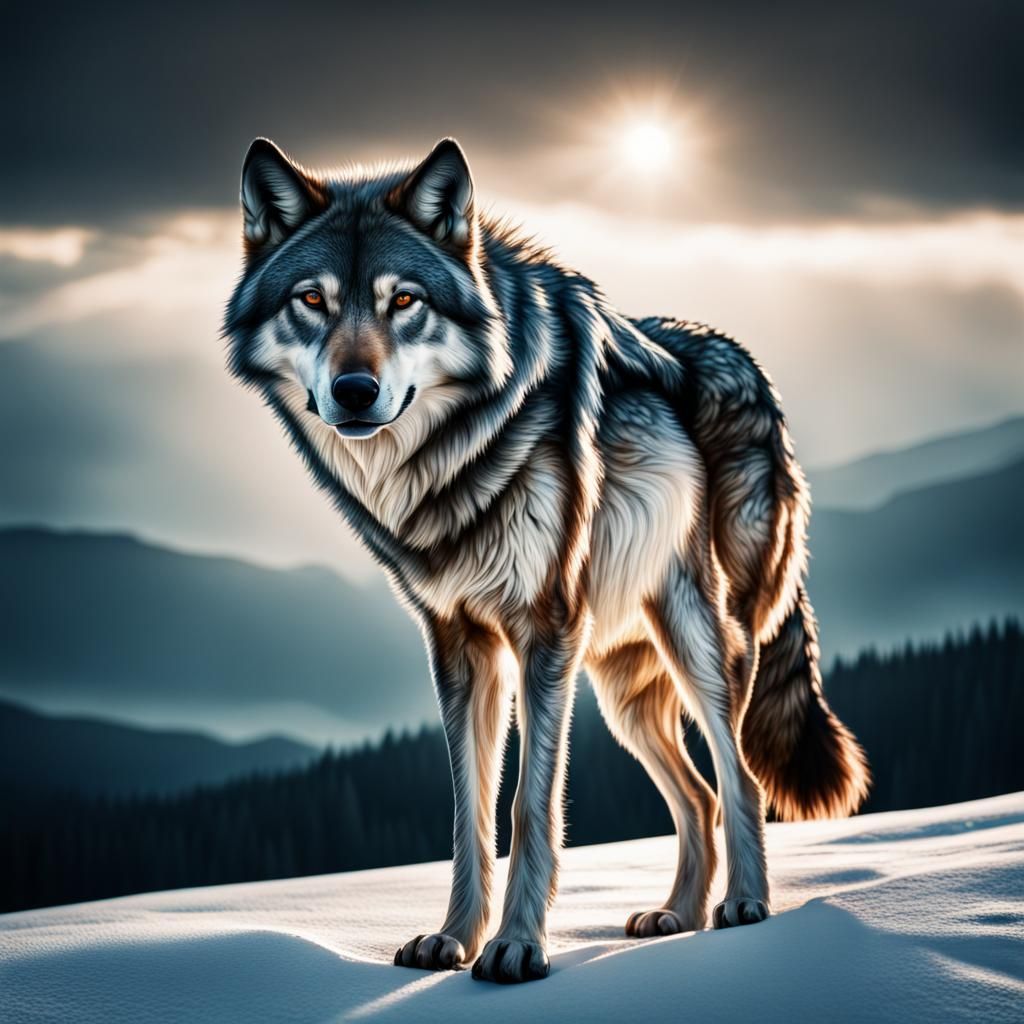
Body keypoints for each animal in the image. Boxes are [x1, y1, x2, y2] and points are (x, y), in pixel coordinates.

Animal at [224, 136, 869, 983]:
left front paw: (516, 947)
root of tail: (756, 373)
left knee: (741, 779)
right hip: (625, 691)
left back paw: (743, 905)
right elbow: (469, 811)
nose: (354, 390)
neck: (449, 456)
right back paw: (677, 915)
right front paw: (452, 940)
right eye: (311, 300)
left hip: (700, 641)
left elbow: (529, 805)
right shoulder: (458, 641)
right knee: (698, 796)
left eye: (405, 302)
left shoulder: (545, 629)